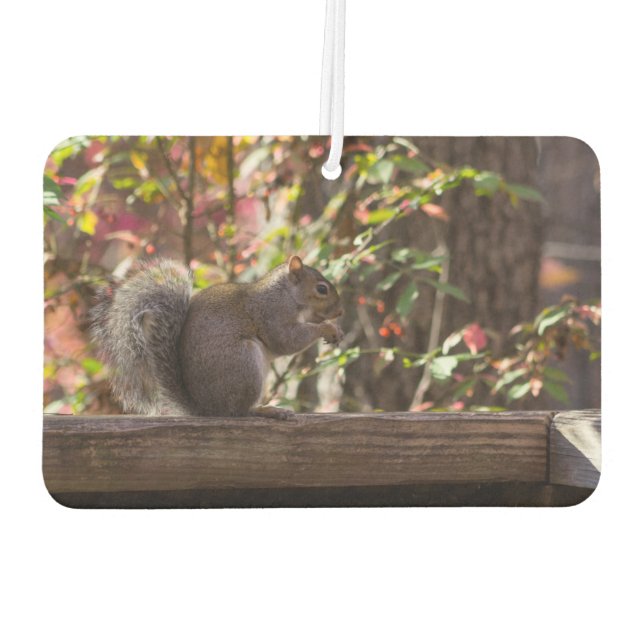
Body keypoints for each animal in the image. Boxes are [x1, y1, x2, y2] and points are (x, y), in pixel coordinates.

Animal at [90, 256, 344, 418]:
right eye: (321, 289)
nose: (340, 312)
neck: (286, 294)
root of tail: (207, 409)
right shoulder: (272, 314)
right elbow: (286, 340)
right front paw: (327, 328)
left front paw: (335, 329)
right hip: (243, 363)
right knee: (238, 412)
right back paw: (265, 410)